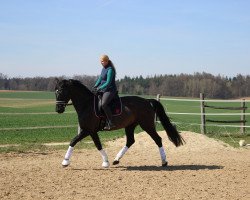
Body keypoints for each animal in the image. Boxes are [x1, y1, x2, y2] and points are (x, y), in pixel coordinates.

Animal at [54, 79, 184, 168]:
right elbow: (98, 145)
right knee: (130, 141)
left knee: (158, 139)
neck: (87, 104)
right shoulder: (91, 131)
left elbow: (74, 141)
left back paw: (164, 161)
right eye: (55, 92)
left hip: (147, 126)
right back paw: (116, 159)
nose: (58, 109)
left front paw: (65, 162)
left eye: (61, 91)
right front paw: (106, 162)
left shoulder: (88, 130)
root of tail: (147, 101)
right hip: (130, 126)